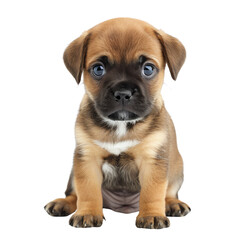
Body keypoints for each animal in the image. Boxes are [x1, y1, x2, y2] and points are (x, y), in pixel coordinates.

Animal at [44, 17, 191, 229]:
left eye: (148, 69)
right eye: (98, 69)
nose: (123, 93)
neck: (121, 126)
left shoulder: (152, 160)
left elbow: (153, 192)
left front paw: (152, 215)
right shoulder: (87, 160)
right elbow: (87, 191)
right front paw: (87, 213)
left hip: (177, 170)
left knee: (168, 193)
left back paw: (172, 204)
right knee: (74, 194)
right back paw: (63, 203)